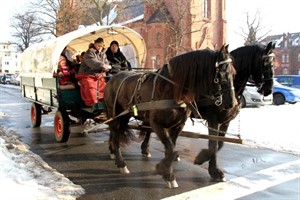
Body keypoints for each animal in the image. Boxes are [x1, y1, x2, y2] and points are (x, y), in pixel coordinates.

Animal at [103, 44, 237, 188]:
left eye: (234, 73)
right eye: (221, 73)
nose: (232, 103)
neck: (169, 90)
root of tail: (112, 78)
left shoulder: (178, 126)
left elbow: (171, 150)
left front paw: (167, 172)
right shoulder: (157, 124)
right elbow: (172, 150)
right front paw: (165, 172)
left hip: (125, 115)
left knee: (115, 132)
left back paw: (114, 152)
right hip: (114, 113)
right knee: (115, 133)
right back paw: (120, 162)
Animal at [139, 41, 276, 182]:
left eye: (273, 62)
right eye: (265, 62)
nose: (269, 89)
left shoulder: (225, 122)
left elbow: (220, 144)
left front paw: (206, 161)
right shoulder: (213, 120)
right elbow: (213, 144)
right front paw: (211, 168)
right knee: (148, 128)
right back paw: (146, 149)